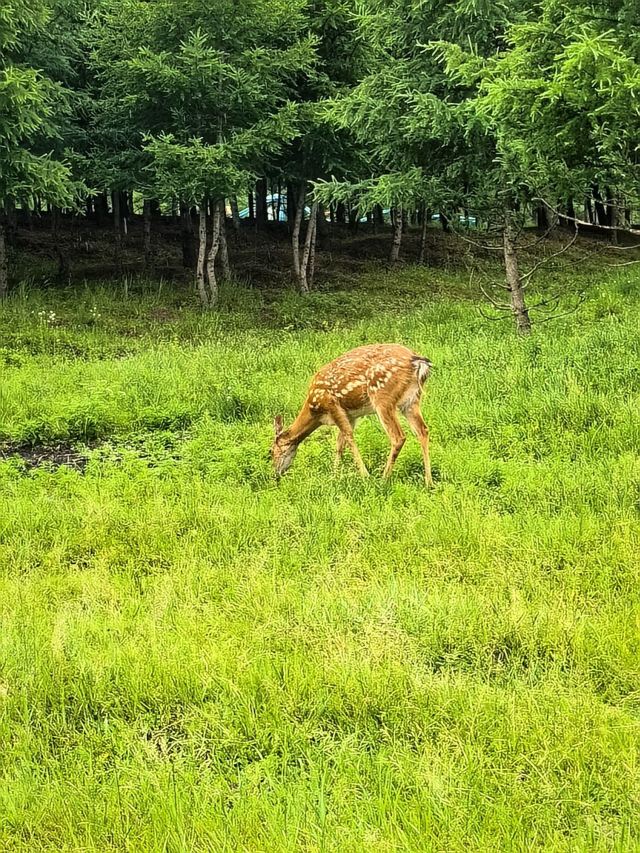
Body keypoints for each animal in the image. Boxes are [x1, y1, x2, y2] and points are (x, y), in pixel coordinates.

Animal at [270, 344, 433, 484]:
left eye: (270, 451)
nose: (276, 474)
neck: (314, 410)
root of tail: (418, 361)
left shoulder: (332, 405)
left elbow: (348, 437)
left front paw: (364, 475)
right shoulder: (350, 415)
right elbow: (339, 444)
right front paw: (335, 474)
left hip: (383, 397)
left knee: (398, 437)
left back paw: (383, 478)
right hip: (411, 401)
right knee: (423, 430)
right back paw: (428, 482)